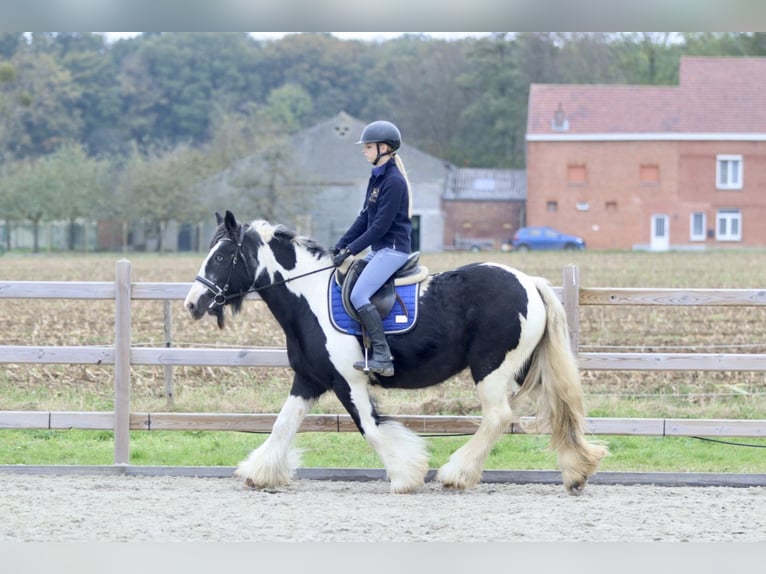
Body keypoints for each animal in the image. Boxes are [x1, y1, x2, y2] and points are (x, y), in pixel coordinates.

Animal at [183, 212, 608, 496]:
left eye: (220, 257)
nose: (193, 303)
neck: (309, 298)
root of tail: (530, 282)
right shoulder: (308, 379)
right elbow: (282, 425)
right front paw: (260, 472)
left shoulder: (348, 381)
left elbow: (371, 428)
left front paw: (407, 475)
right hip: (523, 369)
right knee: (556, 413)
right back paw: (575, 472)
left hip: (492, 369)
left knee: (497, 418)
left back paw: (456, 474)